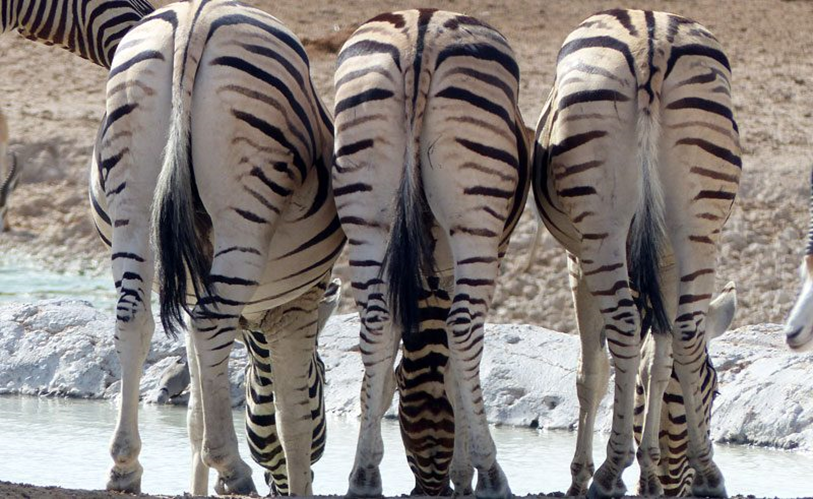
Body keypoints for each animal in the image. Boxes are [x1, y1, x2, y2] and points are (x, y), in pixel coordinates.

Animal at [96, 0, 344, 494]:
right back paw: (231, 468)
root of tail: (196, 17)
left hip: (130, 208)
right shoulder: (297, 305)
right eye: (323, 379)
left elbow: (196, 408)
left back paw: (125, 466)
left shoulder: (195, 293)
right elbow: (292, 419)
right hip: (244, 214)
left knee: (133, 318)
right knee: (210, 323)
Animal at [333, 9, 529, 498]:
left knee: (376, 328)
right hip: (475, 218)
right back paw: (494, 475)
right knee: (462, 331)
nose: (428, 488)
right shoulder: (486, 251)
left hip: (367, 213)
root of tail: (421, 31)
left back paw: (364, 476)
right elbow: (457, 367)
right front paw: (467, 473)